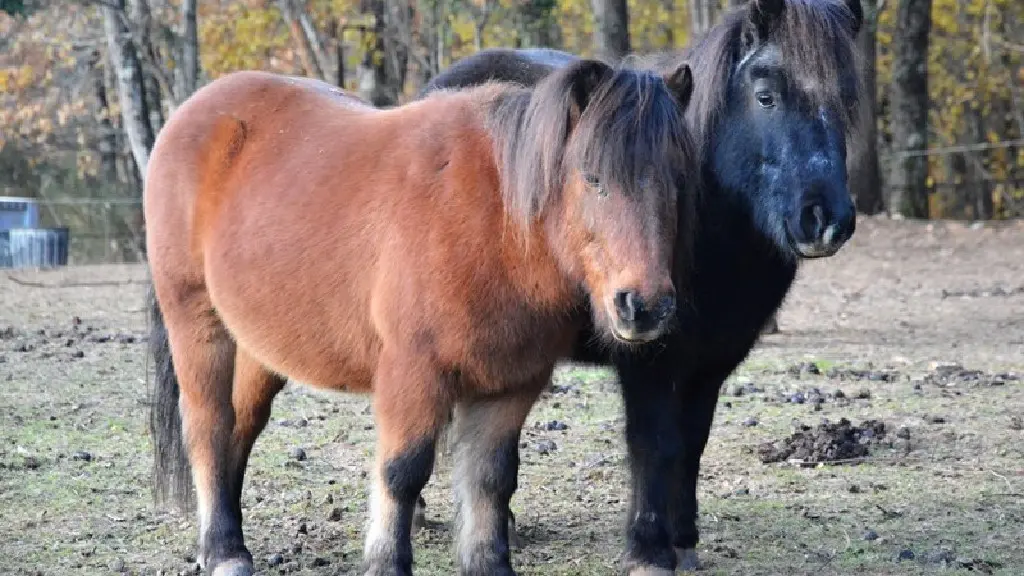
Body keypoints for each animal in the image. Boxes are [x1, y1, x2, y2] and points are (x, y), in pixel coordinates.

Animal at [144, 59, 700, 573]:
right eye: (594, 178)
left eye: (677, 182)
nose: (644, 306)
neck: (495, 221)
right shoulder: (413, 374)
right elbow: (403, 472)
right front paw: (387, 561)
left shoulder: (509, 385)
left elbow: (492, 479)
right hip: (196, 322)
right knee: (209, 425)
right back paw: (224, 551)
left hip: (261, 348)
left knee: (240, 427)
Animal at [423, 2, 864, 569]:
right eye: (767, 95)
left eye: (847, 99)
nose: (826, 220)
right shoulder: (647, 357)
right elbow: (653, 443)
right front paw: (648, 548)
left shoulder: (713, 361)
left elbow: (691, 441)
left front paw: (684, 540)